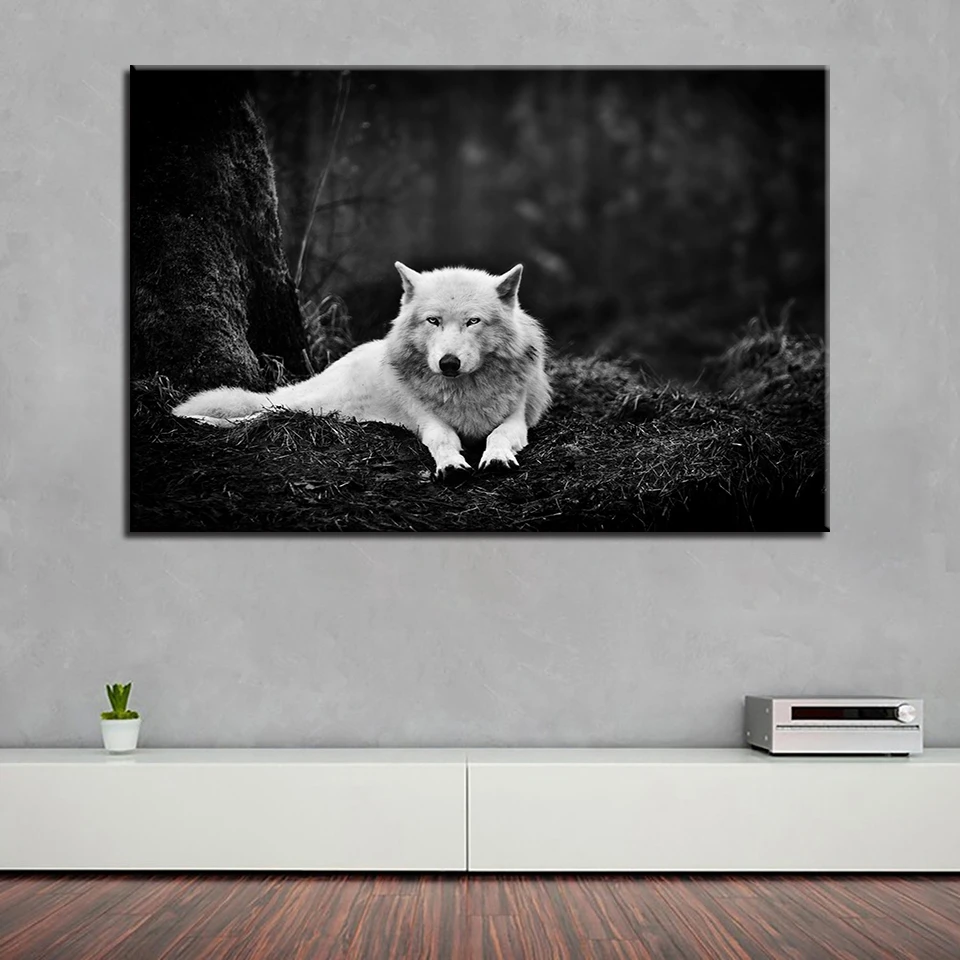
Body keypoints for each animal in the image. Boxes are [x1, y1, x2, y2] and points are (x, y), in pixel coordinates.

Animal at [173, 262, 552, 479]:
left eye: (473, 321)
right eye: (433, 321)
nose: (448, 363)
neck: (463, 391)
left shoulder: (517, 419)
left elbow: (498, 435)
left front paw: (497, 457)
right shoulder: (428, 422)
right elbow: (444, 439)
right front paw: (451, 465)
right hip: (311, 404)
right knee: (259, 412)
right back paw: (198, 419)